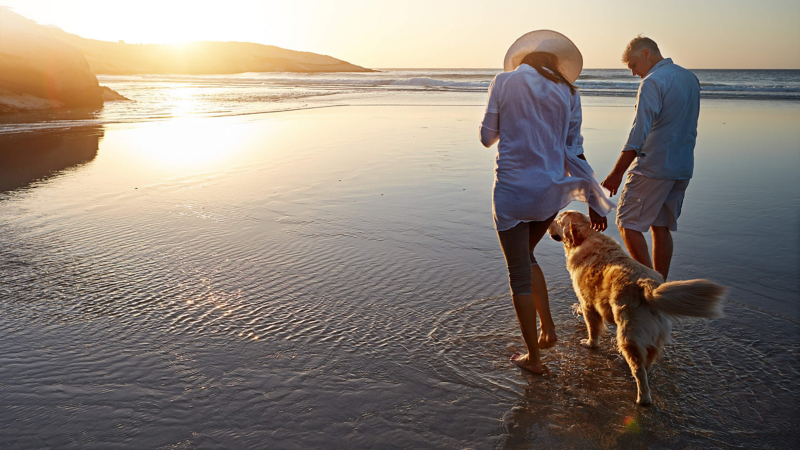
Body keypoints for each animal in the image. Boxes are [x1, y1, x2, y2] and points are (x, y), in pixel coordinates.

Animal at [552, 210, 724, 404]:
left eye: (558, 220)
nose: (549, 221)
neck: (587, 237)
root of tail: (648, 286)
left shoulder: (589, 302)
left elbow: (593, 329)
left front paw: (589, 343)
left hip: (629, 334)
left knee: (639, 370)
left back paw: (643, 398)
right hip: (653, 335)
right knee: (647, 361)